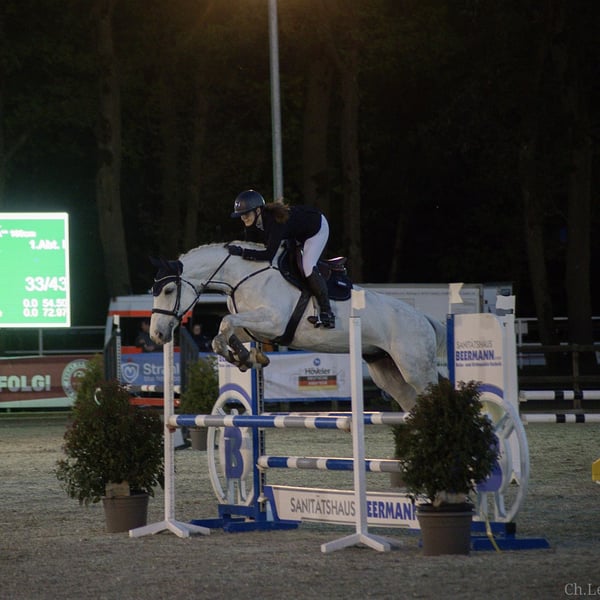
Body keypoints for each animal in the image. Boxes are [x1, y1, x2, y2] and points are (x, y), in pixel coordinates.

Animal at [149, 242, 446, 412]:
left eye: (168, 289)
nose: (157, 334)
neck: (243, 275)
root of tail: (424, 319)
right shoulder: (256, 325)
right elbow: (225, 332)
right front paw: (246, 357)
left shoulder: (273, 321)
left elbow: (225, 322)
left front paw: (244, 357)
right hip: (386, 370)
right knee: (410, 404)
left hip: (415, 369)